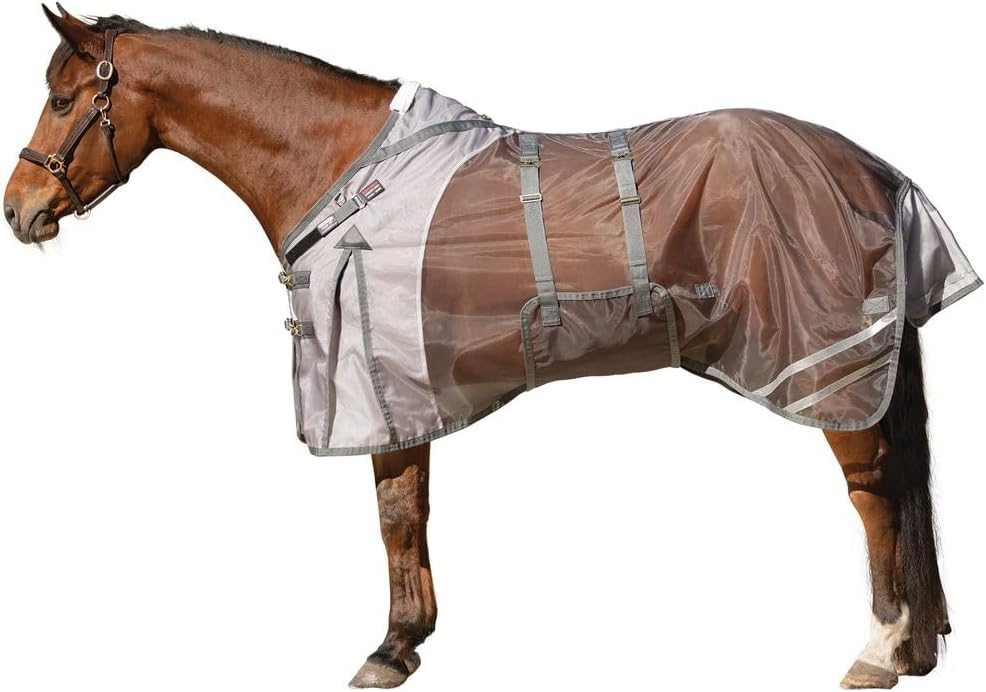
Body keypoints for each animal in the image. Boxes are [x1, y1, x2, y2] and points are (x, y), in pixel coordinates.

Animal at [4, 7, 978, 689]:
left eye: (62, 99)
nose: (20, 209)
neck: (345, 170)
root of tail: (876, 171)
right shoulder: (407, 389)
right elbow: (412, 509)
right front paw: (408, 640)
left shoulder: (382, 381)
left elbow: (395, 513)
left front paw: (387, 649)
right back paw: (915, 646)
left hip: (830, 366)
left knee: (875, 496)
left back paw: (880, 650)